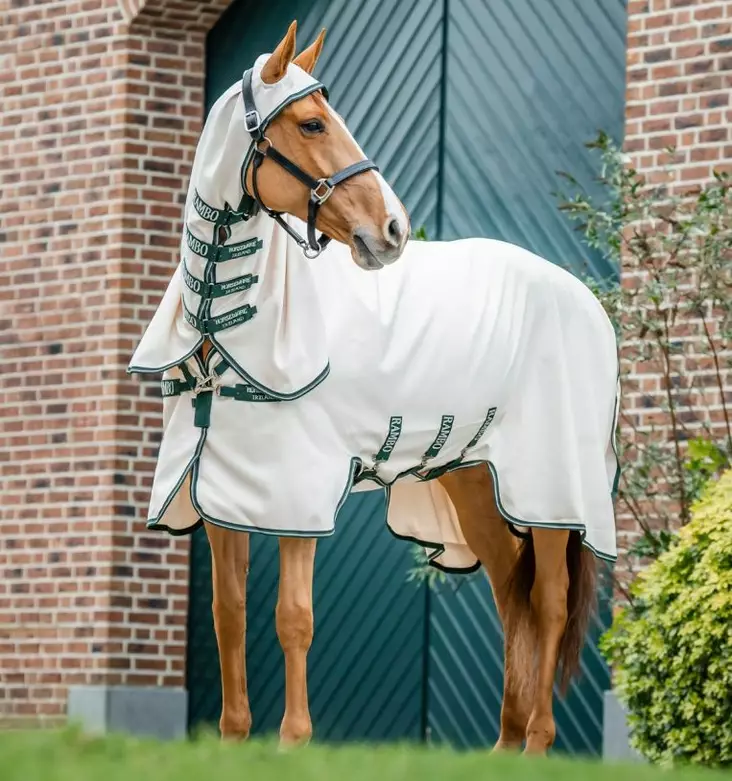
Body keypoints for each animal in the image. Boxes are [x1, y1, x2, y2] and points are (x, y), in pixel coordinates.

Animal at [128, 21, 620, 755]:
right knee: (511, 591)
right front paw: (235, 741)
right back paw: (504, 749)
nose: (391, 231)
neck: (228, 323)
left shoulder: (295, 491)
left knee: (550, 600)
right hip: (473, 478)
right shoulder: (221, 493)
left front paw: (293, 743)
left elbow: (293, 615)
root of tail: (584, 299)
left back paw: (536, 742)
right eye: (310, 122)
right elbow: (229, 613)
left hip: (553, 490)